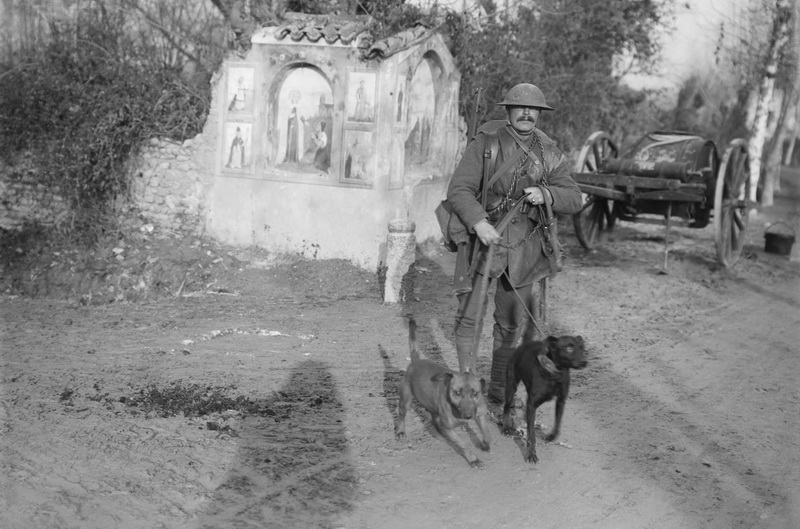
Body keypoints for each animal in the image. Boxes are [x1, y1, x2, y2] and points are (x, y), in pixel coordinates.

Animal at [396, 318, 494, 466]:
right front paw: (473, 459)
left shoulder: (480, 414)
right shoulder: (449, 428)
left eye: (475, 393)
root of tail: (416, 361)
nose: (468, 416)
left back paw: (438, 434)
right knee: (402, 415)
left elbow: (486, 430)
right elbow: (463, 444)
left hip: (431, 404)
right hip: (405, 399)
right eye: (457, 393)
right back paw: (401, 431)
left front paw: (485, 444)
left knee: (433, 419)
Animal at [500, 334, 588, 462]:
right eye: (569, 348)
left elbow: (557, 422)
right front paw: (531, 454)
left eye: (582, 347)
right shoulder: (532, 404)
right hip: (511, 386)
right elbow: (531, 434)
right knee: (506, 407)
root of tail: (524, 344)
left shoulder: (561, 400)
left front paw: (551, 436)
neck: (554, 375)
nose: (584, 362)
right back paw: (506, 428)